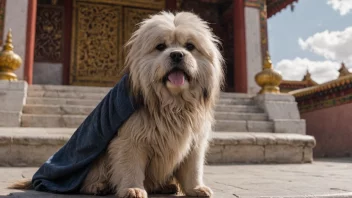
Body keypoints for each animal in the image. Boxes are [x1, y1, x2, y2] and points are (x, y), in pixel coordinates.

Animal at [11, 11, 224, 198]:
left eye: (190, 46)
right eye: (161, 46)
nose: (177, 55)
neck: (172, 103)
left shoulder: (195, 142)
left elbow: (193, 170)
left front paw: (196, 188)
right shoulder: (130, 141)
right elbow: (131, 168)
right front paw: (133, 189)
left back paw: (166, 186)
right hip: (97, 159)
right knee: (89, 179)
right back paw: (98, 186)